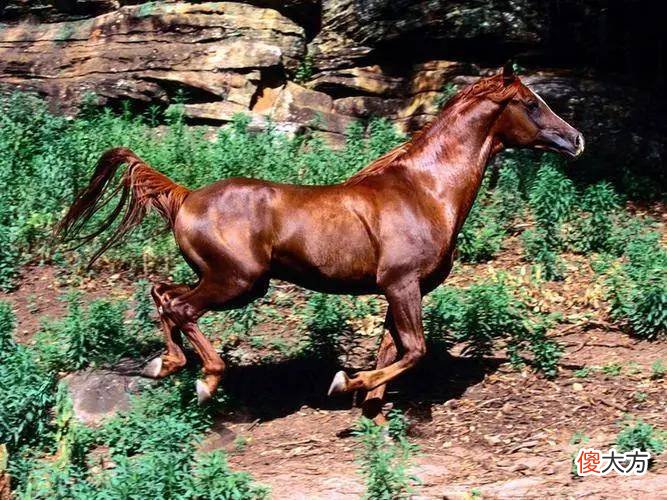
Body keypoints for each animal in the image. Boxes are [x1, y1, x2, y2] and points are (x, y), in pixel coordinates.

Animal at [58, 65, 584, 422]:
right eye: (531, 103)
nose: (576, 139)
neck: (426, 191)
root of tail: (185, 196)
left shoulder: (397, 290)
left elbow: (391, 350)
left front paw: (371, 407)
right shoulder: (402, 284)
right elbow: (414, 350)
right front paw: (344, 383)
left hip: (217, 277)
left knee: (163, 294)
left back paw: (162, 365)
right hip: (240, 282)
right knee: (180, 308)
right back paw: (206, 381)